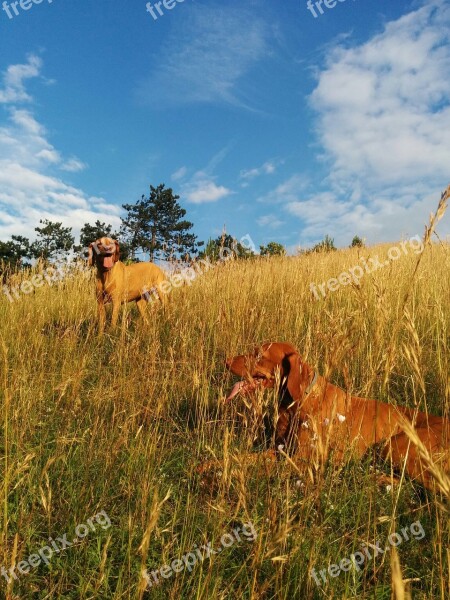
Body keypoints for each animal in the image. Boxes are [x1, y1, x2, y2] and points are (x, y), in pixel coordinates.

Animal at [222, 340, 450, 490]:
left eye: (259, 355)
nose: (226, 361)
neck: (298, 403)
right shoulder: (280, 450)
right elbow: (241, 458)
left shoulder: (302, 460)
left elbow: (257, 467)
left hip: (396, 445)